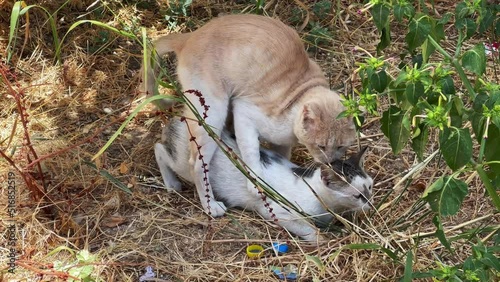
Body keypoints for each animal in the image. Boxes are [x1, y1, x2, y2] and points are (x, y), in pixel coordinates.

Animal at [143, 13, 358, 217]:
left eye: (341, 146)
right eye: (320, 146)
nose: (330, 162)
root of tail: (189, 37)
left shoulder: (281, 143)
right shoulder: (244, 113)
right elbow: (252, 152)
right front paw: (257, 185)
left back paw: (172, 184)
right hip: (214, 114)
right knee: (195, 163)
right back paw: (210, 206)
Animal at [154, 113, 374, 241]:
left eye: (370, 187)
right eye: (357, 195)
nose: (371, 204)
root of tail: (181, 118)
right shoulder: (277, 212)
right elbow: (310, 230)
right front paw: (322, 241)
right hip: (185, 163)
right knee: (159, 148)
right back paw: (172, 184)